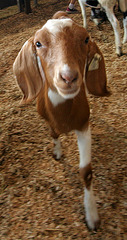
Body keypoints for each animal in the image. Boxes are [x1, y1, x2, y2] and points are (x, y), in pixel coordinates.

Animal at [13, 11, 109, 231]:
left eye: (86, 39)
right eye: (38, 43)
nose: (68, 77)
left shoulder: (83, 125)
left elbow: (86, 171)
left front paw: (92, 216)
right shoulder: (47, 119)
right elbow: (53, 133)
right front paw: (57, 152)